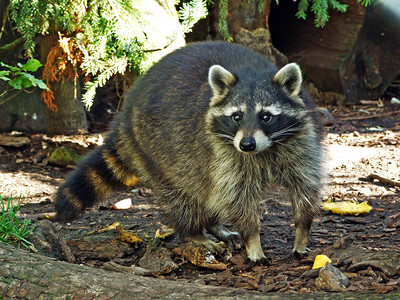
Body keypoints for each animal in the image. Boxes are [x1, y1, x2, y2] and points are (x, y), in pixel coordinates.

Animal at [55, 40, 324, 262]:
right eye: (236, 117)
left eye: (266, 116)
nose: (246, 144)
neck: (265, 149)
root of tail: (123, 116)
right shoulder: (225, 151)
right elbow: (238, 199)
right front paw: (253, 241)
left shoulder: (300, 141)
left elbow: (305, 186)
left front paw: (302, 230)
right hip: (153, 149)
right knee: (184, 193)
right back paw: (194, 233)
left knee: (206, 189)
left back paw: (214, 225)